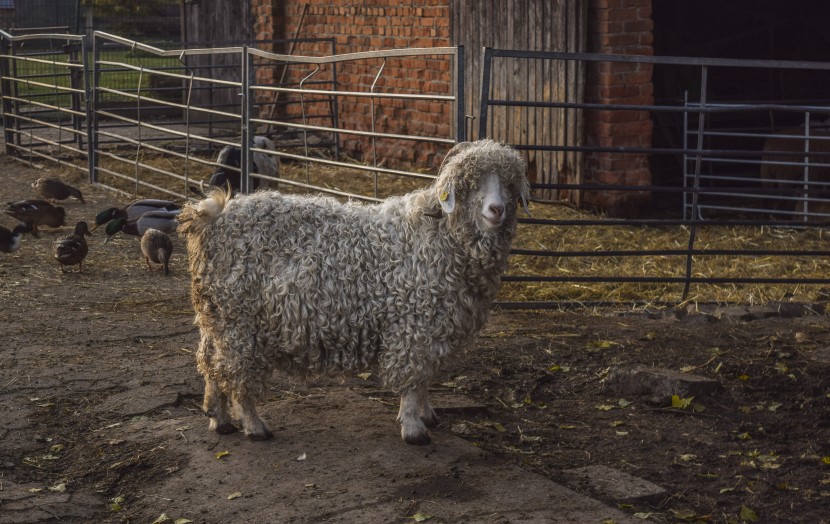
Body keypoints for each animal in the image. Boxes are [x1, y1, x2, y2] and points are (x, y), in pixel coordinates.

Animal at [179, 139, 528, 442]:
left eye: (509, 183)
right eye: (470, 184)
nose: (496, 209)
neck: (438, 235)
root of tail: (212, 216)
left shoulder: (432, 327)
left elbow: (425, 377)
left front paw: (427, 413)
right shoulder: (412, 324)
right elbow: (413, 380)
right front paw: (414, 427)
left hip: (217, 318)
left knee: (210, 363)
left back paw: (219, 418)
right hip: (239, 322)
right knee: (236, 374)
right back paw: (254, 426)